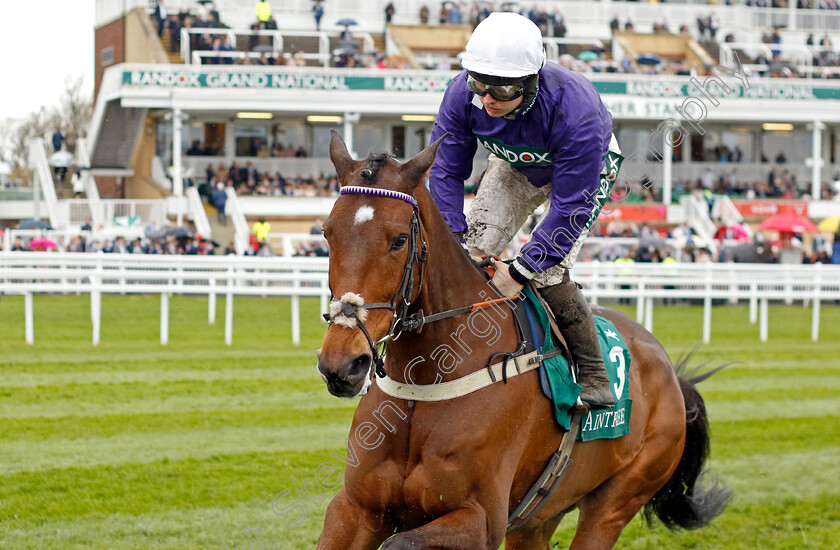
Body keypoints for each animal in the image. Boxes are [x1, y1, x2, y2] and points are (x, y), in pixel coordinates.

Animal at [316, 132, 728, 548]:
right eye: (327, 233)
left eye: (399, 240)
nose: (341, 364)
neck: (428, 381)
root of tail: (673, 375)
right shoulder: (354, 509)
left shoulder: (481, 519)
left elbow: (400, 541)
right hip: (538, 518)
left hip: (620, 497)